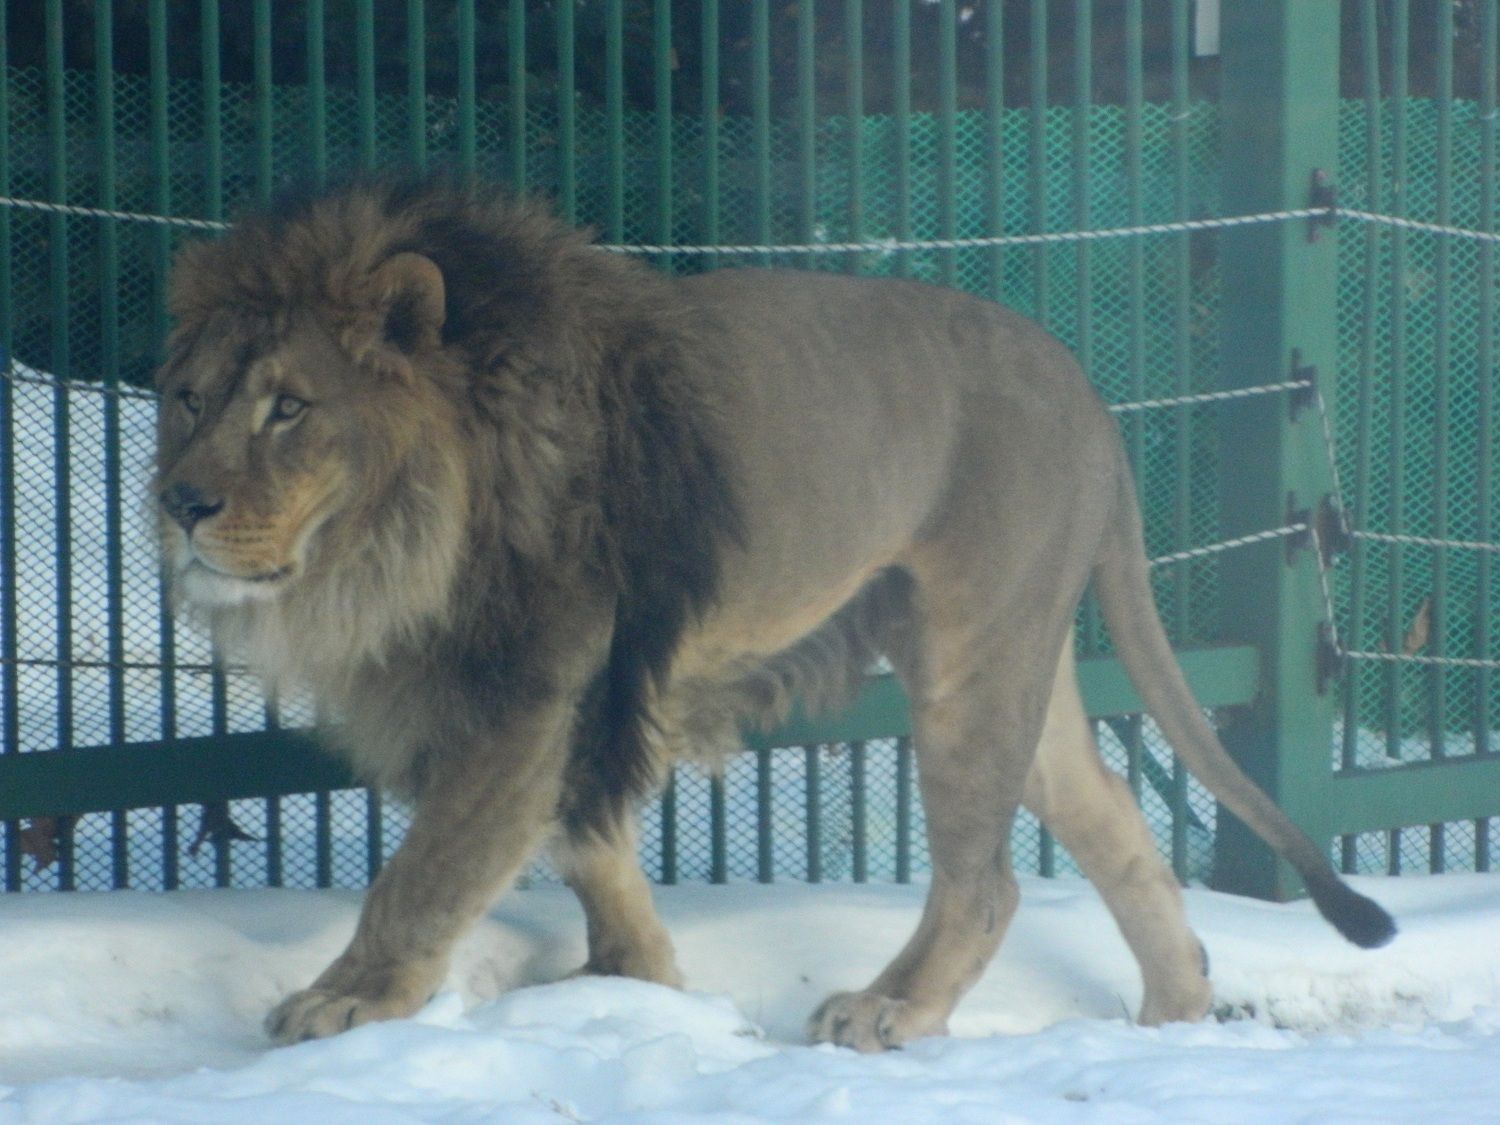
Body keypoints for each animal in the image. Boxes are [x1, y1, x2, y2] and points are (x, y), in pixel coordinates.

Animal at [155, 178, 1392, 1056]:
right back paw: (1175, 1017)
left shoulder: (532, 687)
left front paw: (348, 1003)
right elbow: (587, 843)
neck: (392, 551)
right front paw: (640, 980)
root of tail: (1092, 397)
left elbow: (432, 870)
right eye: (188, 399)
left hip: (972, 653)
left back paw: (890, 1013)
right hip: (1014, 659)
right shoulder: (567, 694)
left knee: (986, 881)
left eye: (288, 408)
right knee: (1115, 823)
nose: (176, 503)